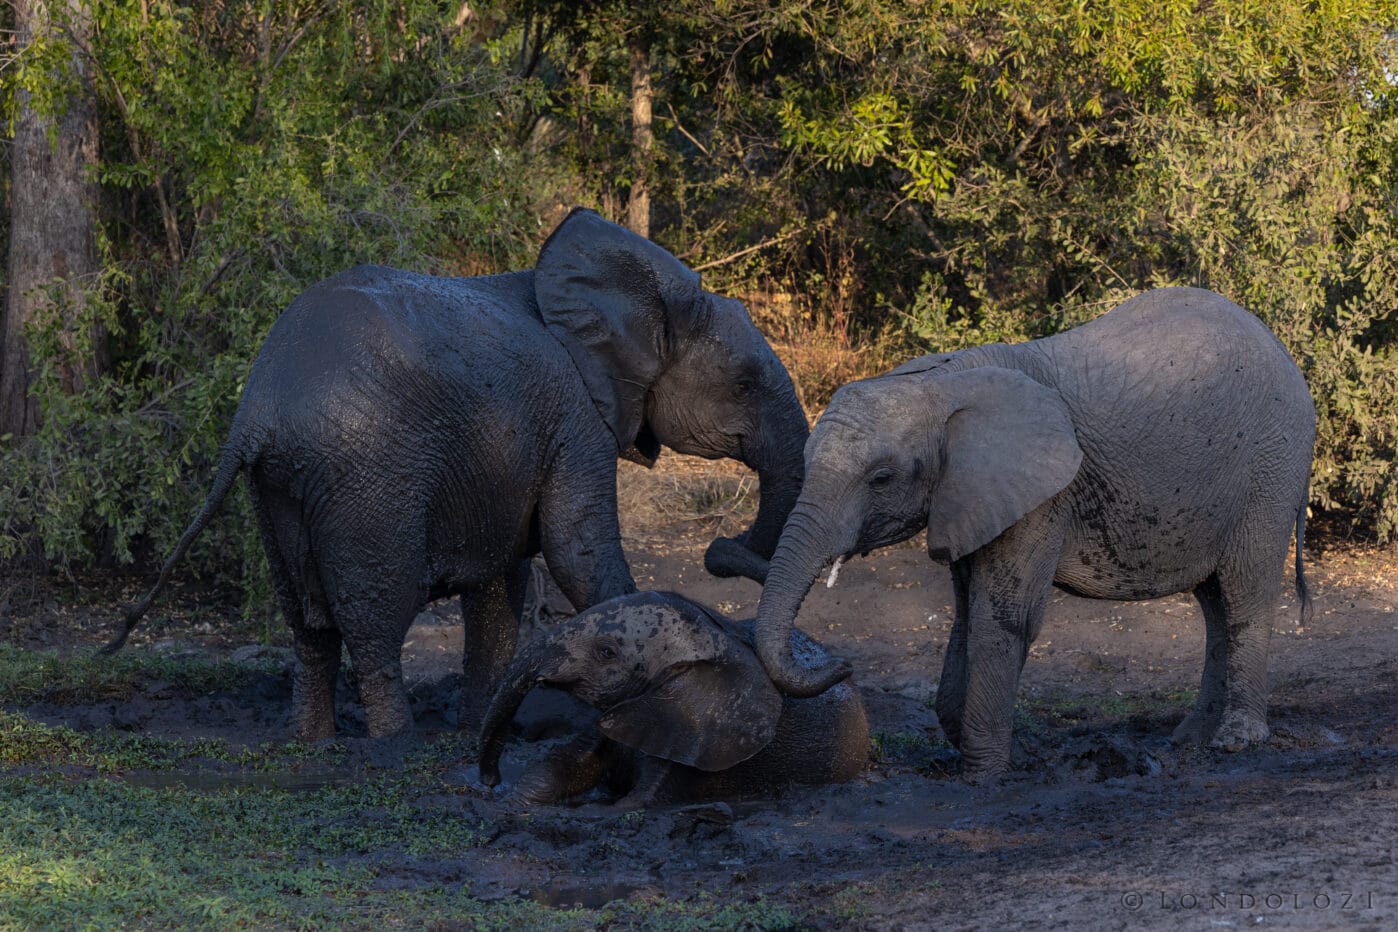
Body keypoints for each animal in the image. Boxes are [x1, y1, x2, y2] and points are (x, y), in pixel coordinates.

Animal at [103, 208, 809, 740]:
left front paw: (482, 728)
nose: (719, 550)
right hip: (366, 477)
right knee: (374, 618)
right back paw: (395, 745)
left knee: (306, 623)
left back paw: (312, 742)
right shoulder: (577, 416)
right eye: (744, 384)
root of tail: (257, 414)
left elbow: (502, 585)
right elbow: (577, 553)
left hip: (276, 486)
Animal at [478, 591, 869, 806]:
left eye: (606, 652)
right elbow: (555, 771)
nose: (490, 782)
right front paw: (510, 802)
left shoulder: (692, 741)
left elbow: (635, 804)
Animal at [751, 287, 1316, 781]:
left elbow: (1005, 618)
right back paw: (1192, 738)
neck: (942, 385)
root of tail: (1284, 353)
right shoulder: (969, 494)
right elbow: (968, 613)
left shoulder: (1042, 496)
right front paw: (983, 751)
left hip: (1271, 468)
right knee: (1214, 602)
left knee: (1243, 593)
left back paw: (1237, 740)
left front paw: (983, 777)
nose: (844, 664)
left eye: (882, 479)